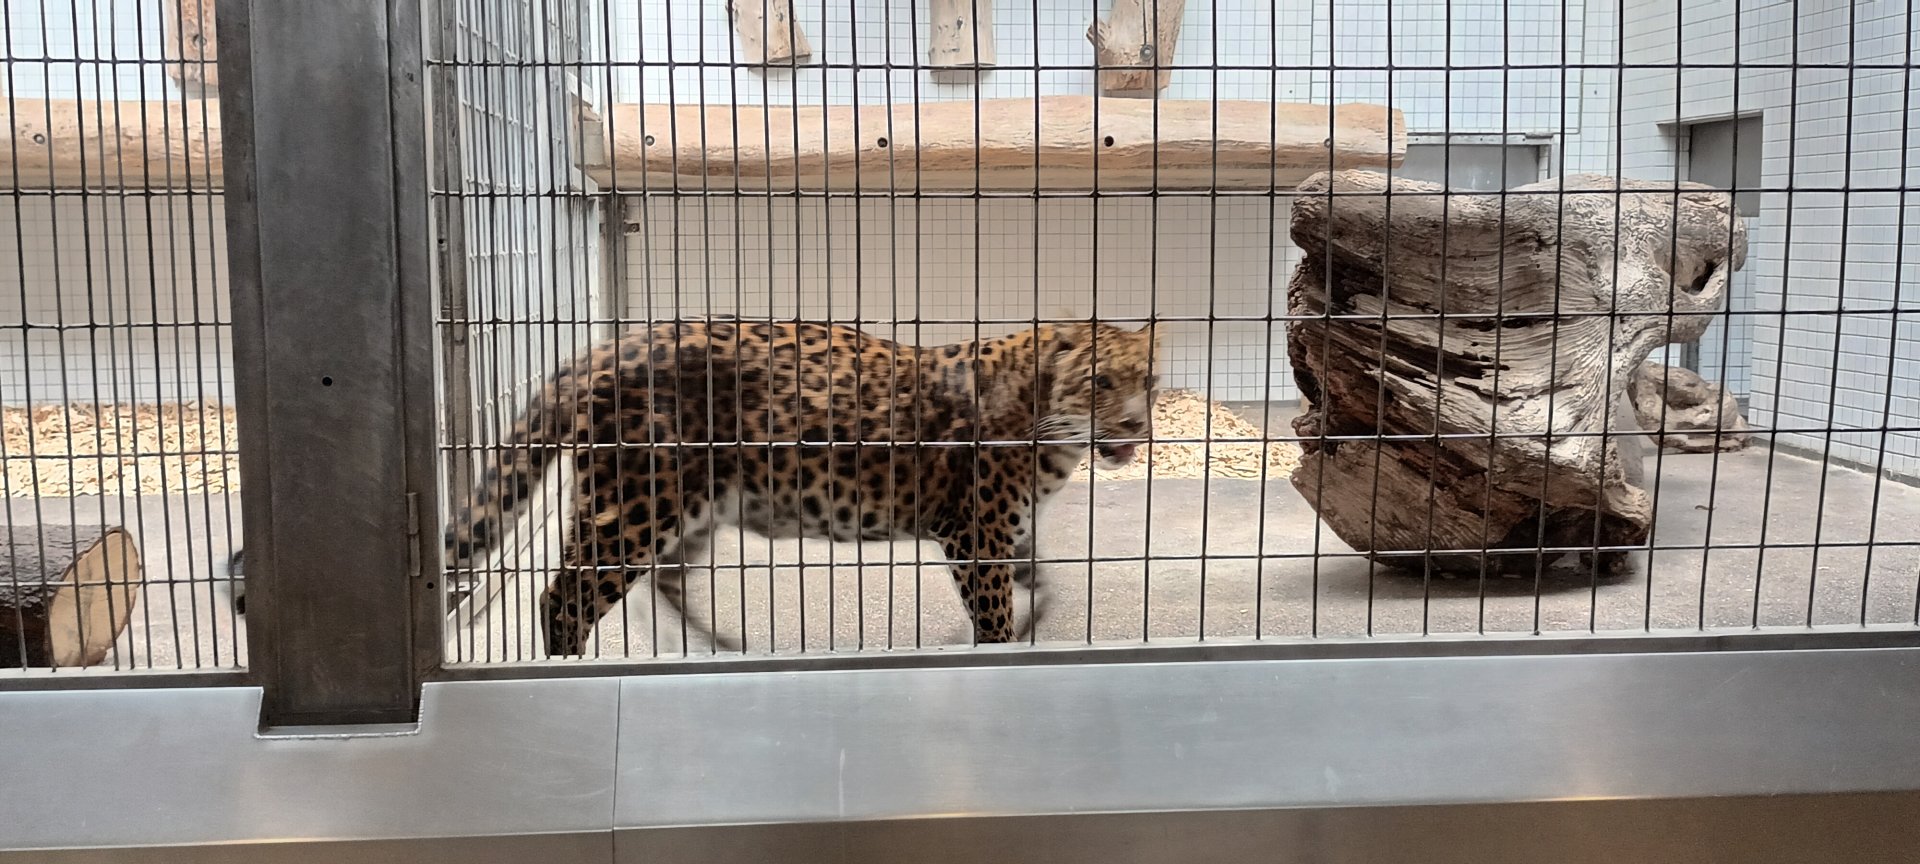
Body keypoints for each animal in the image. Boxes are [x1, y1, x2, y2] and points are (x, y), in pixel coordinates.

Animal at [440, 318, 1162, 657]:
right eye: (1100, 381)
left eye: (1148, 381)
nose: (1136, 424)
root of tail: (602, 349)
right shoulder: (975, 534)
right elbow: (994, 610)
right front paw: (996, 646)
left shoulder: (1004, 530)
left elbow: (1043, 582)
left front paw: (1028, 620)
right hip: (637, 503)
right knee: (565, 595)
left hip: (687, 509)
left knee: (662, 586)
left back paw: (708, 649)